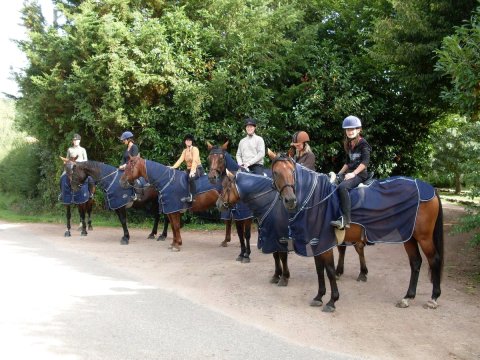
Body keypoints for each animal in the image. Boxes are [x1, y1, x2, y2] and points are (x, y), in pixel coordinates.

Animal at [118, 155, 253, 256]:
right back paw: (226, 241)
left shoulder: (173, 209)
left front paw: (177, 244)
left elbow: (176, 226)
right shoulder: (171, 209)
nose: (121, 181)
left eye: (129, 167)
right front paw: (174, 243)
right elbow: (173, 226)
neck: (167, 181)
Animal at [205, 142, 288, 286]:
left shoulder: (246, 217)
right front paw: (241, 253)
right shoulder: (238, 217)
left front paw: (247, 255)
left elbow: (246, 235)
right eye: (210, 158)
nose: (212, 177)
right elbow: (240, 235)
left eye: (221, 158)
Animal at [268, 150, 444, 310]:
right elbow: (319, 270)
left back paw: (434, 298)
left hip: (423, 237)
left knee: (434, 260)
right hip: (408, 236)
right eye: (276, 172)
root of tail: (429, 188)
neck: (317, 198)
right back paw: (407, 297)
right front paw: (319, 296)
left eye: (292, 172)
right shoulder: (316, 241)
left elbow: (329, 270)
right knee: (416, 262)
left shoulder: (325, 242)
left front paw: (332, 301)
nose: (290, 200)